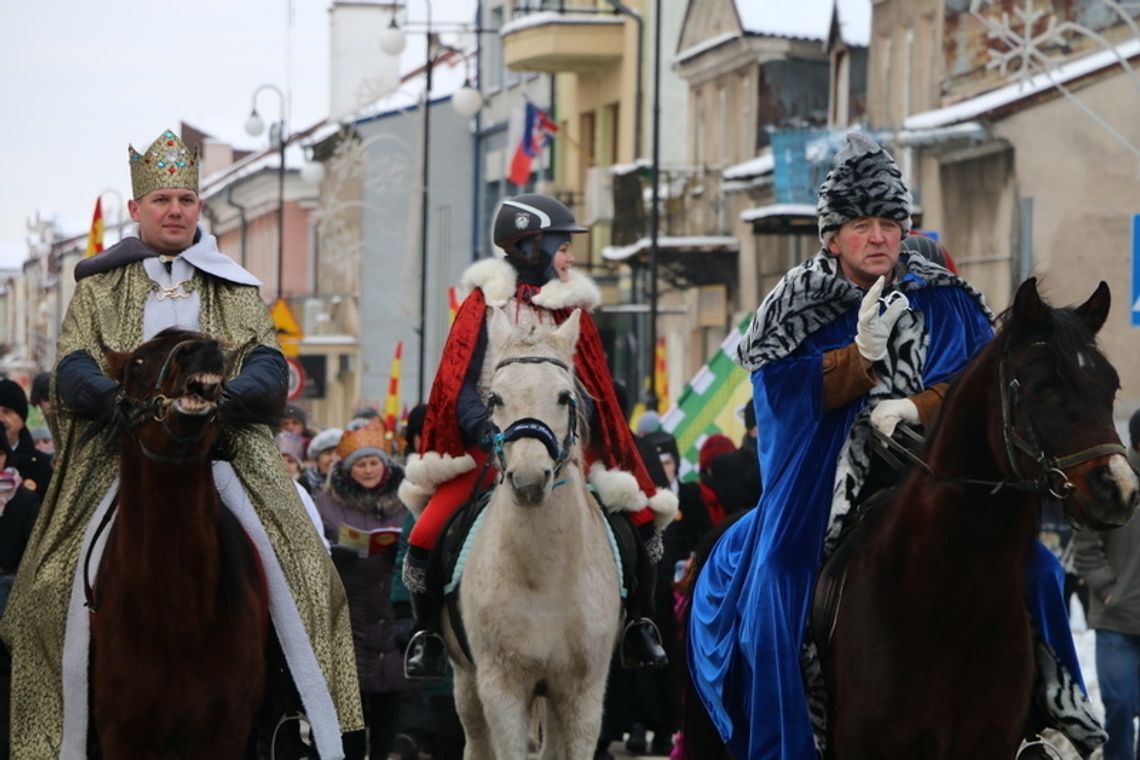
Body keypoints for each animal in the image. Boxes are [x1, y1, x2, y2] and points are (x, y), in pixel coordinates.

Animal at [444, 309, 624, 760]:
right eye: (495, 398)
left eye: (565, 397)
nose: (527, 479)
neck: (545, 576)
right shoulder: (502, 686)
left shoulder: (581, 692)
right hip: (466, 679)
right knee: (476, 740)